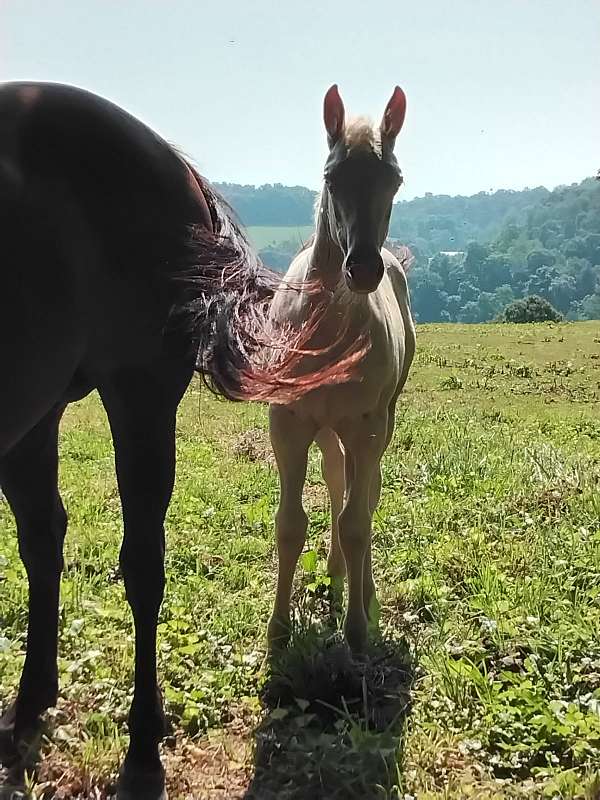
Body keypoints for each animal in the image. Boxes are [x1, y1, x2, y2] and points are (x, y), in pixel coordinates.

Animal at [0, 83, 356, 800]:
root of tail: (174, 163)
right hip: (36, 412)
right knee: (44, 539)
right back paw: (30, 707)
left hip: (138, 394)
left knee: (141, 564)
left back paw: (140, 749)